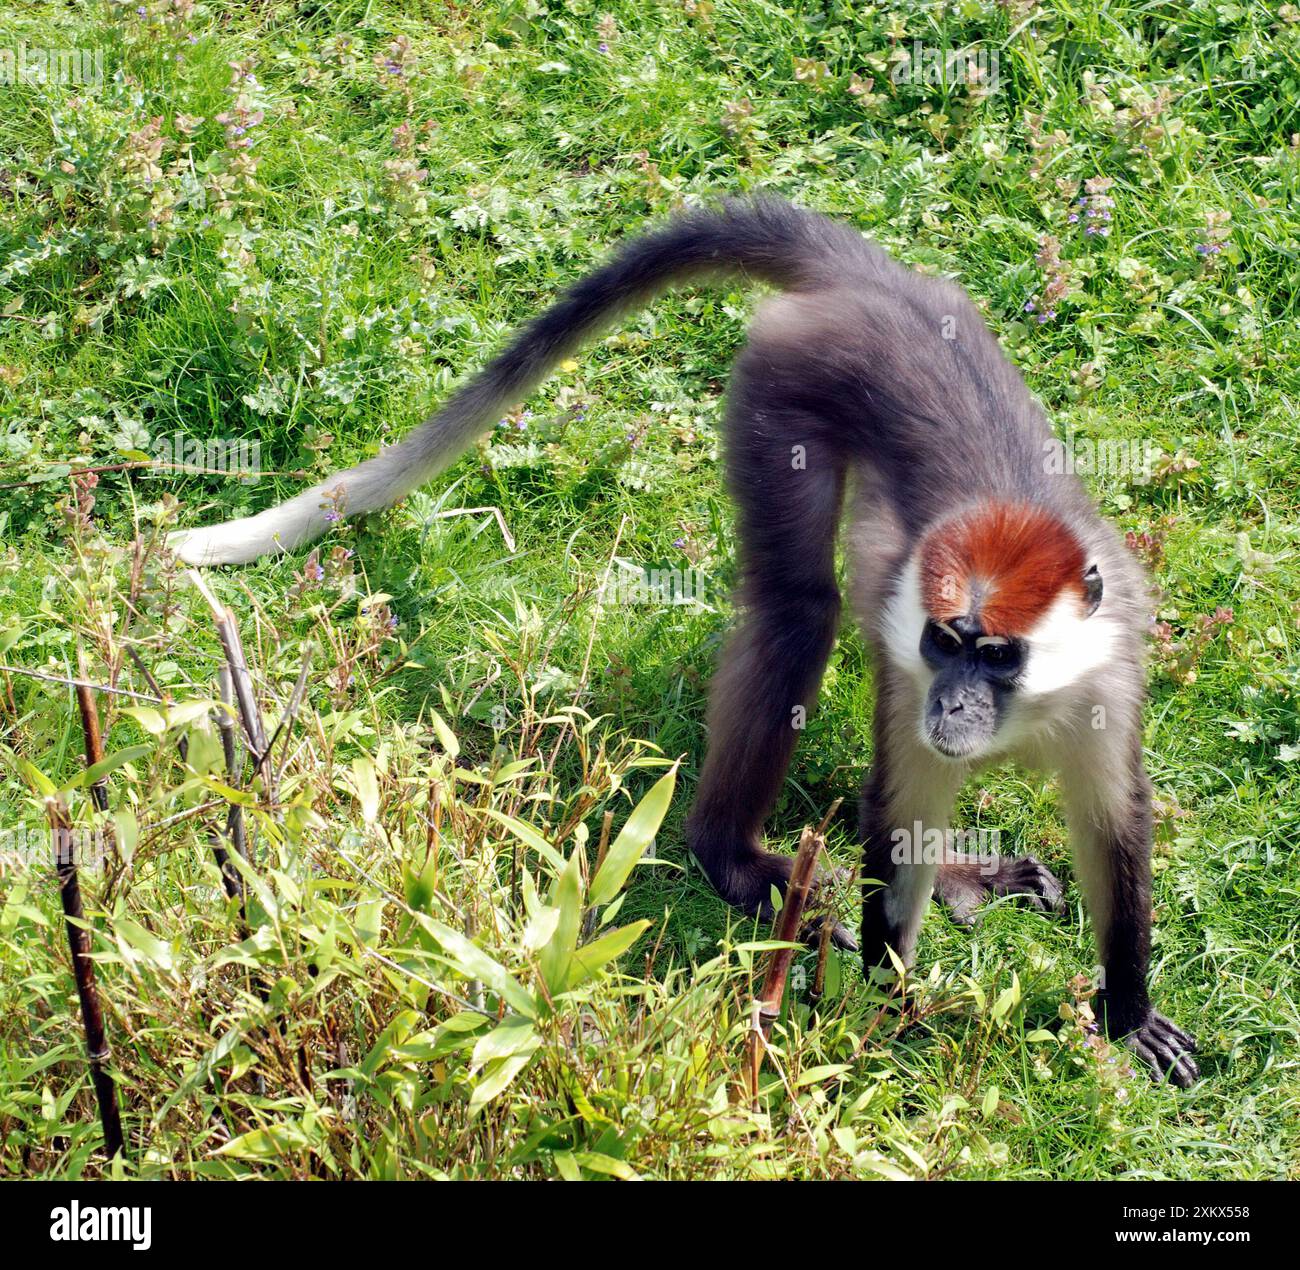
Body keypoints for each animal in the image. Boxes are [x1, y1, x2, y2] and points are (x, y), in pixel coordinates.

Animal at [172, 197, 1196, 1081]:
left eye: (995, 654)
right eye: (948, 642)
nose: (953, 709)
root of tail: (877, 284)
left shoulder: (1108, 671)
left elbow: (1115, 823)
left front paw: (1127, 1012)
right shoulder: (913, 682)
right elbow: (898, 817)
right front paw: (886, 1013)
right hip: (781, 384)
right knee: (797, 609)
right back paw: (733, 858)